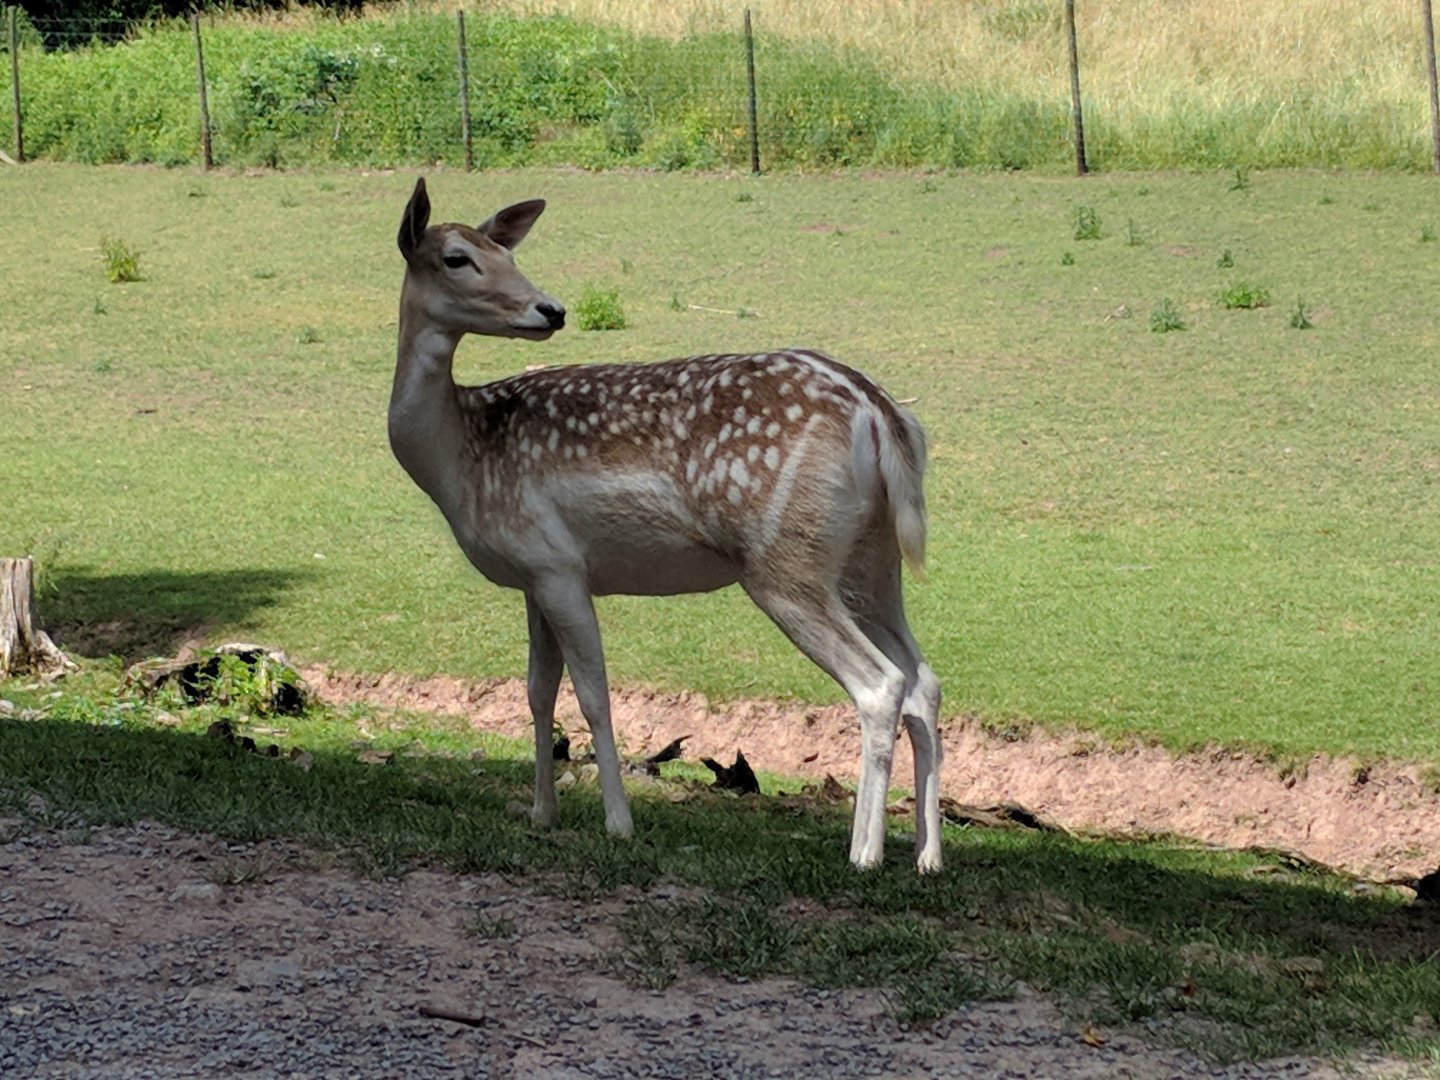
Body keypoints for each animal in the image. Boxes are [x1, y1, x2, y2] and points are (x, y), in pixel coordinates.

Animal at [390, 178, 943, 872]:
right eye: (458, 257)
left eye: (506, 253)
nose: (551, 310)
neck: (459, 456)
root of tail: (880, 414)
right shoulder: (531, 575)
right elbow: (538, 690)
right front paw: (541, 812)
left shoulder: (558, 564)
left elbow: (594, 694)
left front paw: (618, 822)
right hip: (872, 562)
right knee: (925, 681)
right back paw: (928, 856)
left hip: (785, 558)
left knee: (880, 684)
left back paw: (864, 853)